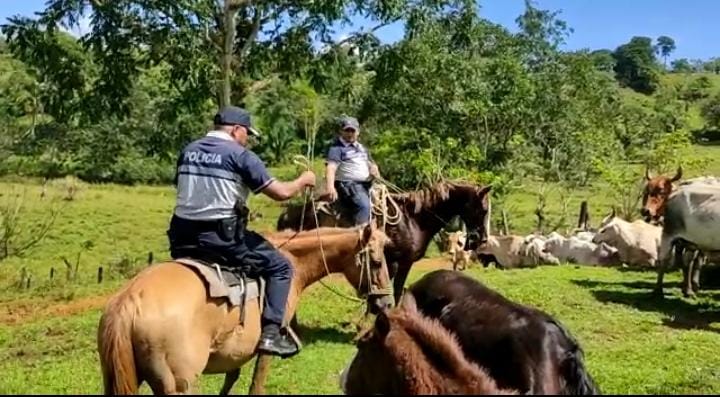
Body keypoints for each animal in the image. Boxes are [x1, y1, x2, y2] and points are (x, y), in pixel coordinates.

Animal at [96, 224, 390, 394]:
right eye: (376, 262)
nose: (385, 303)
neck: (293, 262)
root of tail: (130, 299)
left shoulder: (234, 349)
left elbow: (231, 378)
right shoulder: (266, 347)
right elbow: (256, 385)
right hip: (178, 386)